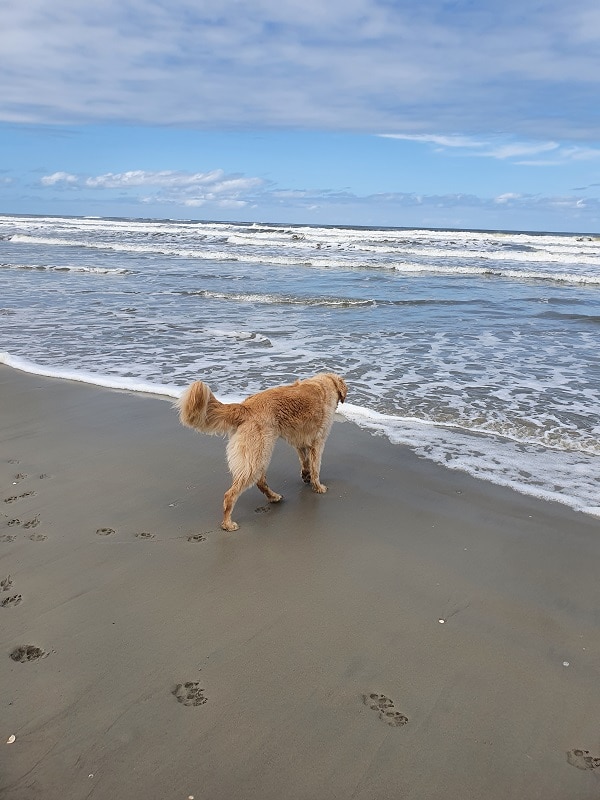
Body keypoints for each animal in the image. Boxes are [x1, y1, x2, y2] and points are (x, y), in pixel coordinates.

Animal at [176, 374, 346, 532]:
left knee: (260, 482)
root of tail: (245, 407)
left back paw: (274, 497)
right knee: (232, 494)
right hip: (258, 455)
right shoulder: (318, 442)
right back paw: (228, 523)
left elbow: (305, 461)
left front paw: (306, 475)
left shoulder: (300, 441)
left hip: (257, 456)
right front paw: (318, 487)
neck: (325, 383)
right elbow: (315, 467)